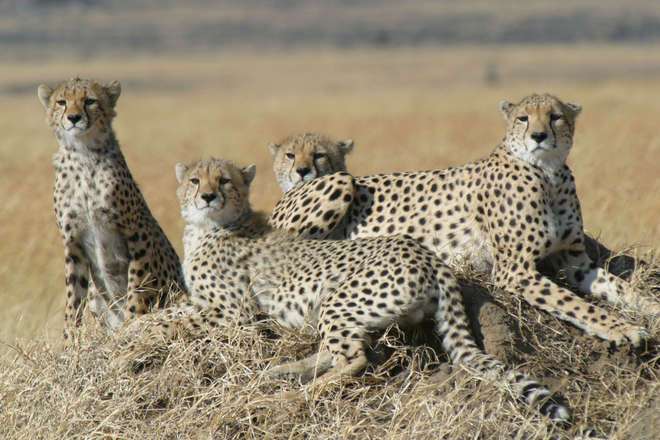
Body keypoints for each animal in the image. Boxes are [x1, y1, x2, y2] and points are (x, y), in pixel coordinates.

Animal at [37, 78, 184, 340]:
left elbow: (136, 287)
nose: (73, 118)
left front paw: (132, 324)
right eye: (61, 102)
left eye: (89, 101)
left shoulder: (136, 233)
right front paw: (70, 341)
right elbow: (73, 298)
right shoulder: (72, 241)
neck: (83, 154)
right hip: (96, 295)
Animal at [135, 158, 572, 422]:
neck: (210, 228)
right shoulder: (204, 302)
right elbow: (166, 314)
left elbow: (177, 323)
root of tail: (428, 255)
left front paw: (143, 338)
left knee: (356, 359)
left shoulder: (234, 312)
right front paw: (132, 331)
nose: (208, 196)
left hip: (338, 297)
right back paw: (283, 372)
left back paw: (293, 396)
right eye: (195, 180)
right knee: (334, 352)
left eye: (224, 180)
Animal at [270, 93, 656, 348]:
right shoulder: (514, 271)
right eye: (523, 118)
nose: (539, 136)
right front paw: (621, 329)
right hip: (340, 182)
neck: (549, 173)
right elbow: (575, 304)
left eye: (555, 116)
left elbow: (621, 289)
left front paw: (650, 310)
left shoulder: (576, 263)